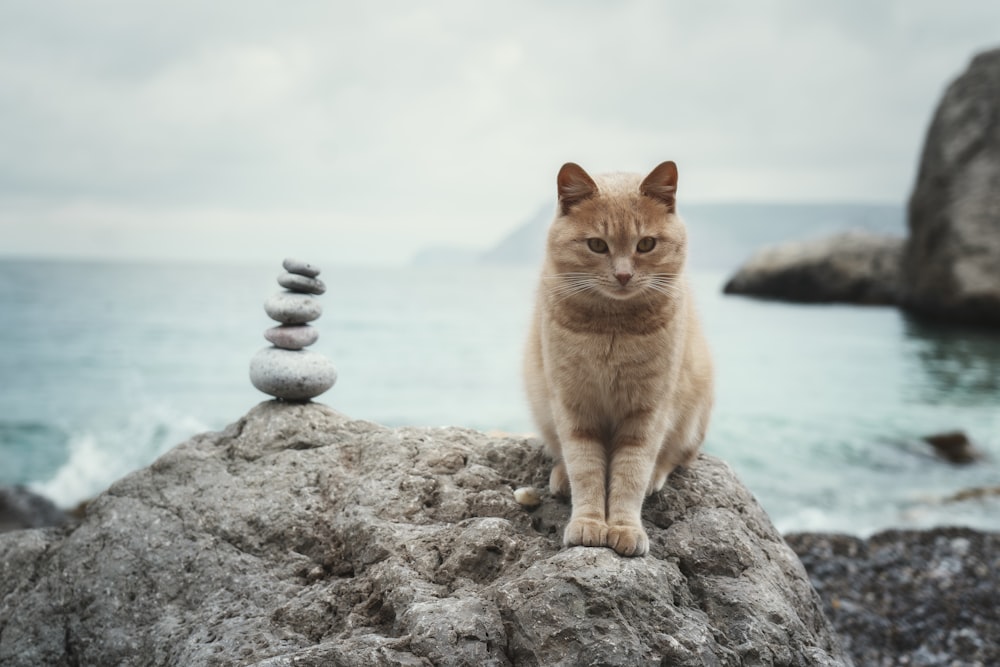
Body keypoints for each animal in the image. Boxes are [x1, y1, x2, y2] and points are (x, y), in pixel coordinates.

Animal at [524, 162, 712, 560]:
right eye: (597, 245)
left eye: (646, 244)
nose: (624, 274)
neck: (612, 325)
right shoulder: (575, 407)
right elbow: (585, 468)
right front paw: (590, 522)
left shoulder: (647, 413)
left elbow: (631, 473)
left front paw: (624, 527)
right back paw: (561, 476)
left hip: (690, 421)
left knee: (674, 459)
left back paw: (656, 475)